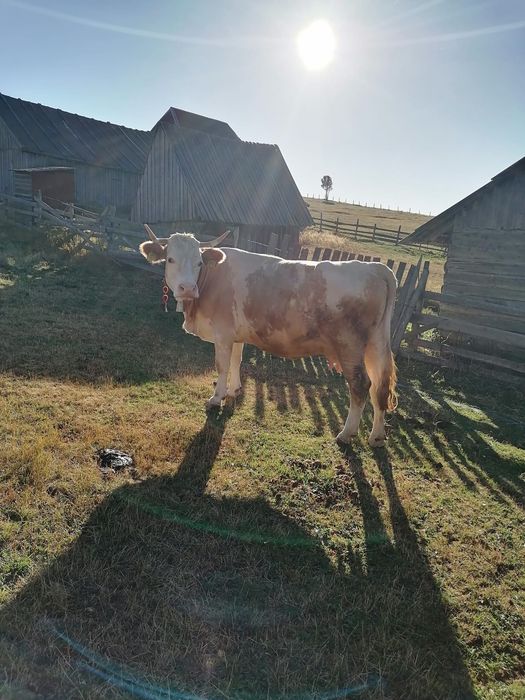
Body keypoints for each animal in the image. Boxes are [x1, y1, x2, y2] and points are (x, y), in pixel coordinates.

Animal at [139, 226, 397, 447]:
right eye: (170, 259)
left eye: (199, 262)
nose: (188, 288)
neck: (211, 279)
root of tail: (375, 268)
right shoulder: (236, 334)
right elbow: (236, 361)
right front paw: (234, 391)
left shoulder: (222, 334)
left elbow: (222, 365)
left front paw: (216, 398)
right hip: (375, 345)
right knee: (379, 388)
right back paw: (376, 436)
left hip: (349, 345)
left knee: (361, 385)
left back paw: (346, 434)